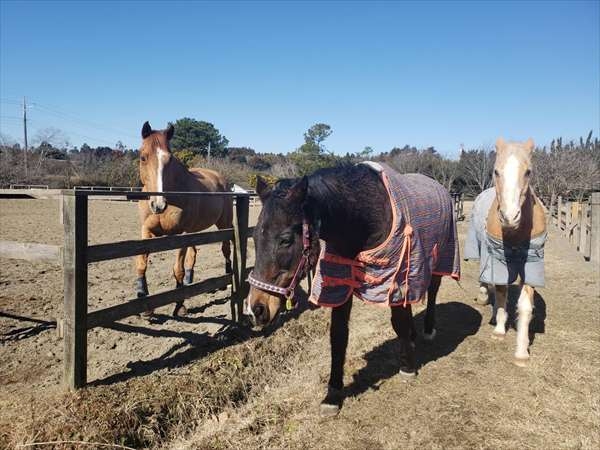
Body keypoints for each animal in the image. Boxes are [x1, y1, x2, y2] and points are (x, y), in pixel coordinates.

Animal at [135, 121, 233, 316]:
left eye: (169, 159)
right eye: (143, 157)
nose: (158, 205)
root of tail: (220, 178)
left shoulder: (180, 235)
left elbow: (177, 270)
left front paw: (179, 305)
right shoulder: (147, 231)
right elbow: (142, 263)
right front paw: (144, 301)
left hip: (223, 225)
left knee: (226, 250)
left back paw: (226, 279)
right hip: (193, 232)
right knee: (193, 254)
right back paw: (189, 281)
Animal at [244, 162, 460, 416]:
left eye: (285, 240)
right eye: (255, 237)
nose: (256, 309)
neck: (366, 217)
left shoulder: (396, 278)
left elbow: (398, 322)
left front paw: (407, 366)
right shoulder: (340, 283)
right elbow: (338, 336)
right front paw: (333, 395)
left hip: (439, 257)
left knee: (433, 292)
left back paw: (427, 330)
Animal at [464, 137, 547, 366]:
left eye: (528, 171)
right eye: (496, 171)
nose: (509, 217)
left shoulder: (531, 264)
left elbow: (525, 306)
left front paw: (521, 352)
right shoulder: (498, 259)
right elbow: (501, 293)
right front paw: (500, 331)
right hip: (481, 247)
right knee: (486, 280)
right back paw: (484, 298)